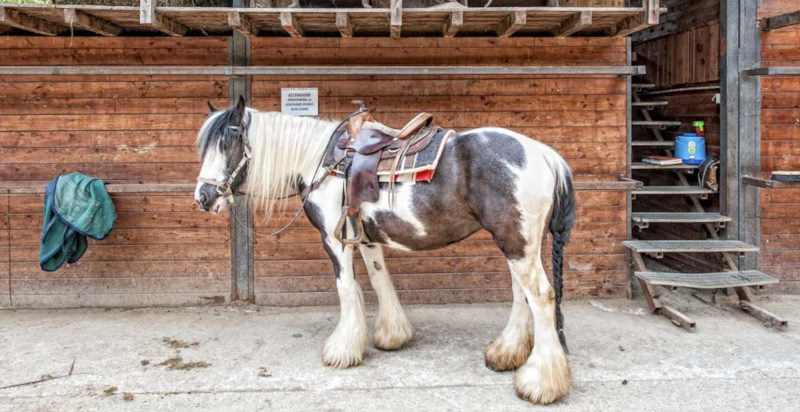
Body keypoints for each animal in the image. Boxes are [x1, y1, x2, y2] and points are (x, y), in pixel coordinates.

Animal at [194, 97, 576, 404]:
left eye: (226, 142)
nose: (203, 197)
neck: (321, 161)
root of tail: (545, 154)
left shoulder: (334, 239)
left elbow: (347, 289)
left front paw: (342, 350)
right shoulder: (364, 238)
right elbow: (380, 281)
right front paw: (392, 335)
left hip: (516, 241)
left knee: (541, 296)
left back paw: (539, 383)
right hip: (517, 242)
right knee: (521, 293)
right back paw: (506, 353)